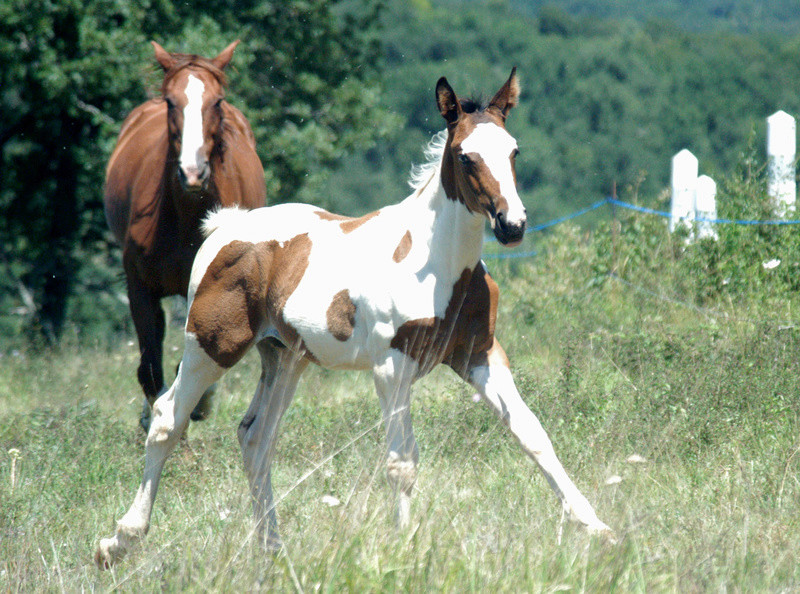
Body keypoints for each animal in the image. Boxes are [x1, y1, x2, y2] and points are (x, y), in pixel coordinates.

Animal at [101, 42, 266, 430]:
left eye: (217, 101)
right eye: (170, 102)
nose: (192, 173)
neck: (186, 218)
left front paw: (199, 405)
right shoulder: (139, 289)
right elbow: (151, 371)